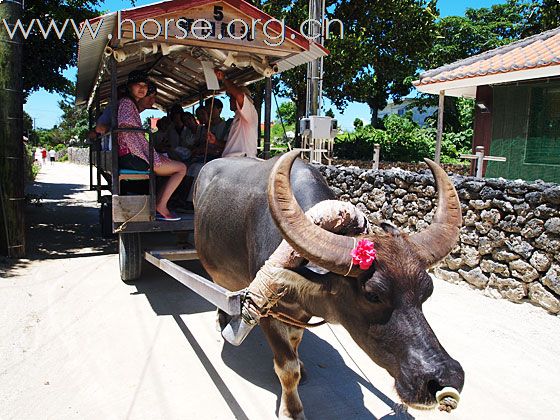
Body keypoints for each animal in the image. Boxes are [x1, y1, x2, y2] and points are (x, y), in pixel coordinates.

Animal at [192, 151, 464, 420]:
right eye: (372, 295)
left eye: (427, 291)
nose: (444, 377)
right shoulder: (266, 310)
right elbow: (287, 367)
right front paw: (292, 410)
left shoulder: (298, 313)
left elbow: (295, 342)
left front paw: (300, 364)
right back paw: (222, 318)